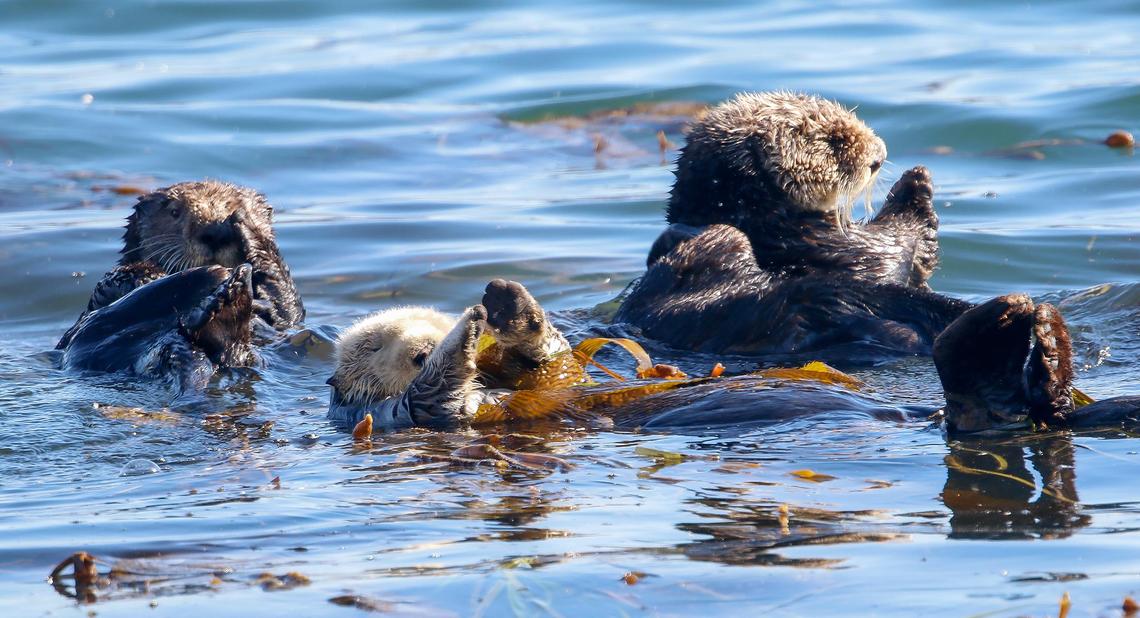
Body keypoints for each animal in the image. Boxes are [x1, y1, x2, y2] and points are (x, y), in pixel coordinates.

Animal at [59, 180, 303, 347]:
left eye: (233, 207)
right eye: (174, 212)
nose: (216, 232)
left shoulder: (284, 322)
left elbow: (286, 305)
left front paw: (246, 224)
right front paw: (147, 275)